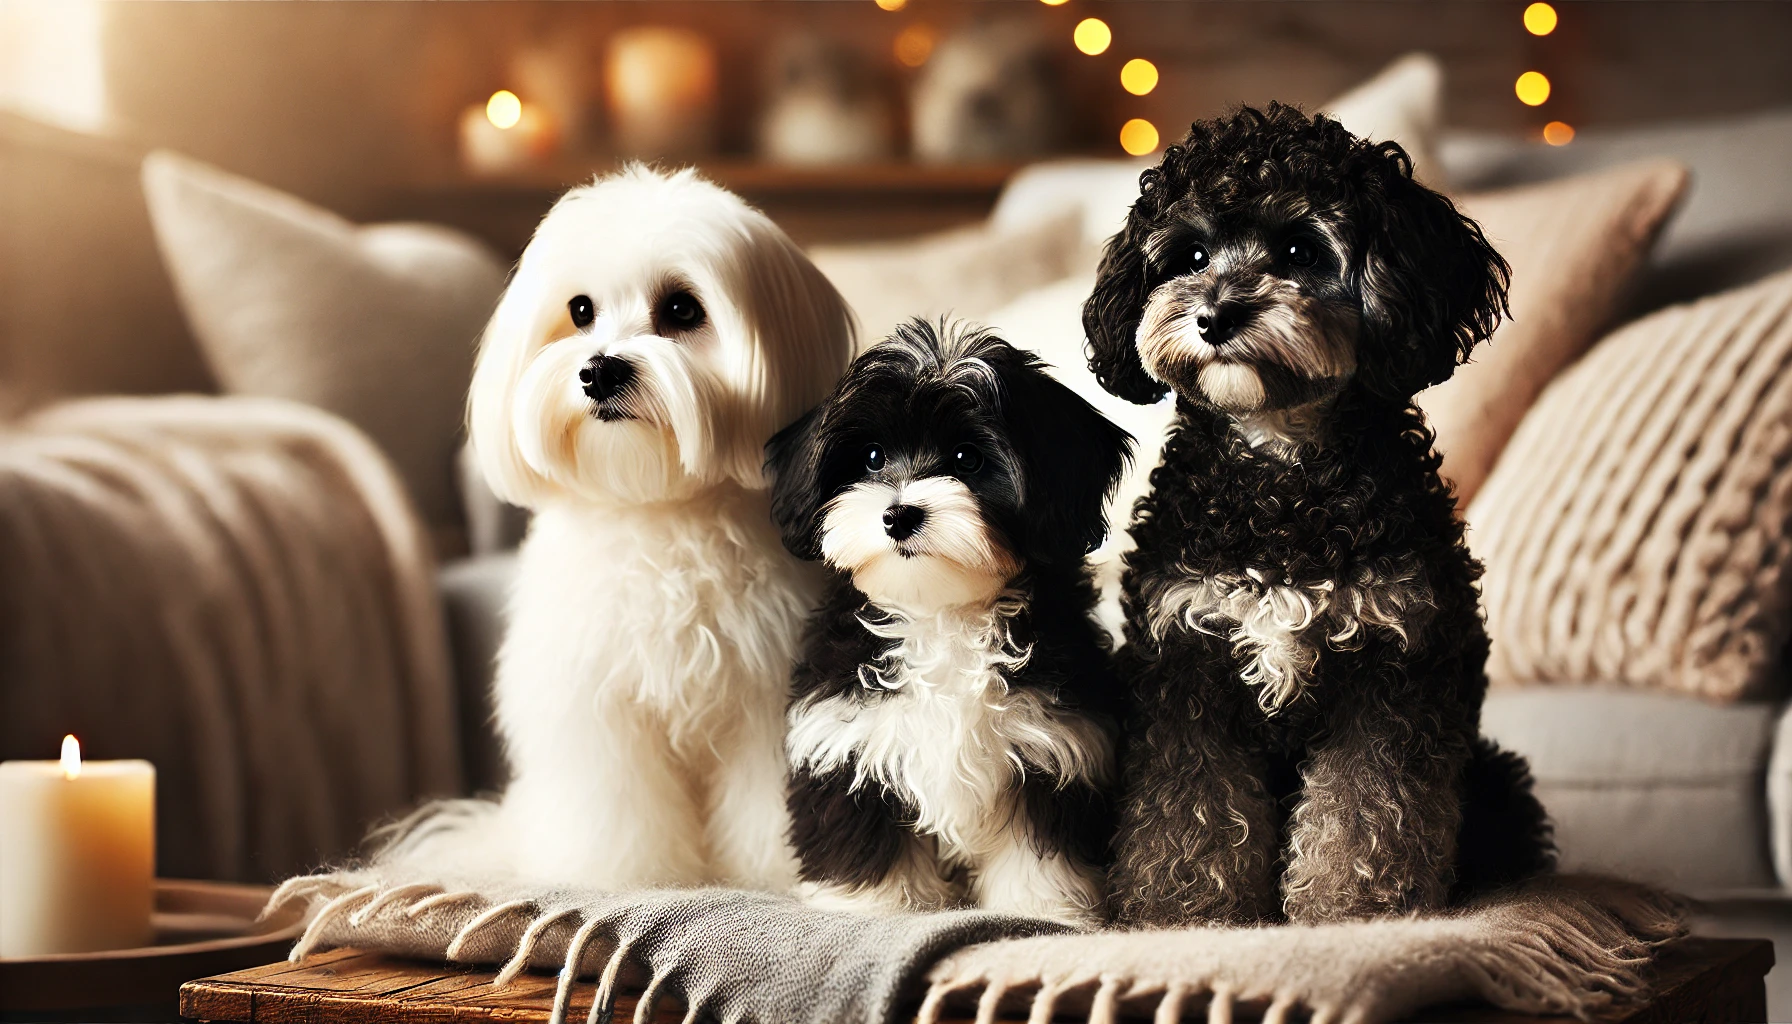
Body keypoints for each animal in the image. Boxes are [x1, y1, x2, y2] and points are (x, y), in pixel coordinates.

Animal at [397, 165, 852, 889]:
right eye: (580, 310)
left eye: (683, 310)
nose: (599, 369)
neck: (656, 506)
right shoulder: (596, 708)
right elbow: (613, 800)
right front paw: (622, 874)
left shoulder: (764, 697)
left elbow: (763, 794)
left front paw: (771, 872)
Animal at [759, 322, 1125, 932]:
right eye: (872, 458)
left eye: (967, 459)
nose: (899, 513)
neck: (941, 614)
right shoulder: (848, 739)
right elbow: (864, 838)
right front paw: (873, 910)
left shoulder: (1054, 745)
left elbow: (1038, 853)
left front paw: (1042, 909)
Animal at [1075, 106, 1555, 932]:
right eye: (1190, 254)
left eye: (1299, 249)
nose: (1213, 316)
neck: (1282, 472)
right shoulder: (1186, 666)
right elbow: (1188, 810)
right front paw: (1185, 913)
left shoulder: (1394, 666)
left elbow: (1366, 812)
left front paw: (1355, 912)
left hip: (1495, 778)